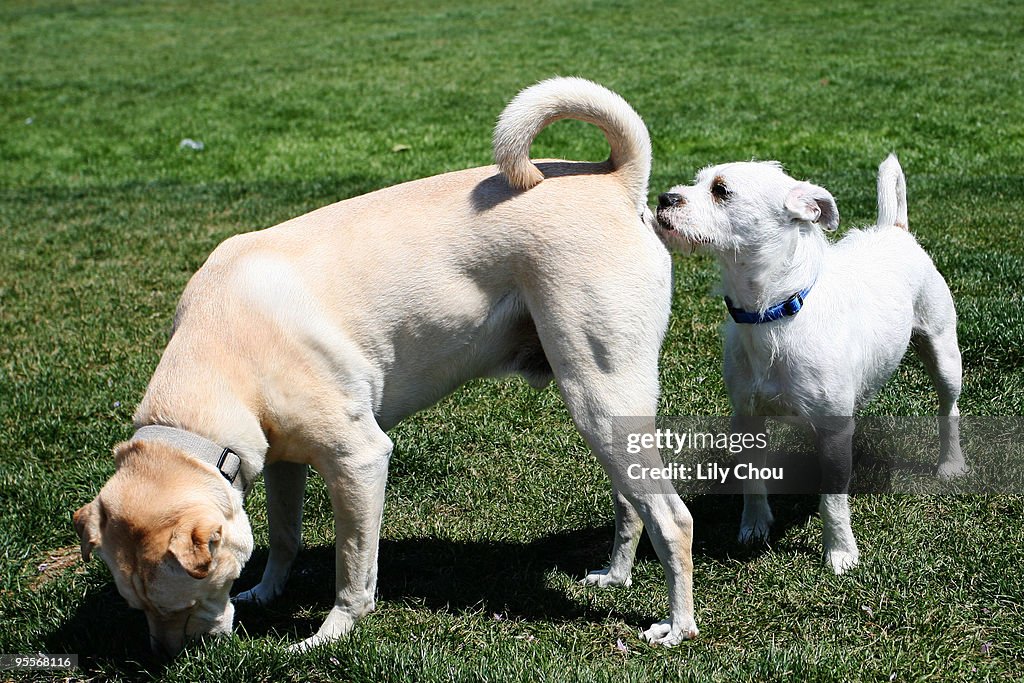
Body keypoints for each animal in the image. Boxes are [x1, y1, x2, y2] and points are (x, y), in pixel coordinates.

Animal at [70, 78, 696, 655]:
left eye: (184, 600)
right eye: (137, 606)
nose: (166, 656)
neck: (221, 360)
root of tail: (615, 178)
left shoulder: (359, 461)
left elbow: (352, 570)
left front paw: (328, 635)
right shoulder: (282, 461)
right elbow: (285, 536)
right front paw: (267, 592)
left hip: (599, 398)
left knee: (673, 518)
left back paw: (678, 626)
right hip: (610, 412)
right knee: (632, 501)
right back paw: (615, 576)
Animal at [651, 154, 962, 573]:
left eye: (721, 190)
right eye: (696, 182)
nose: (664, 198)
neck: (772, 314)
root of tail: (894, 230)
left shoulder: (833, 430)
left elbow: (833, 500)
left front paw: (841, 551)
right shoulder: (747, 417)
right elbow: (752, 480)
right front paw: (754, 525)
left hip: (944, 355)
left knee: (949, 408)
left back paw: (951, 463)